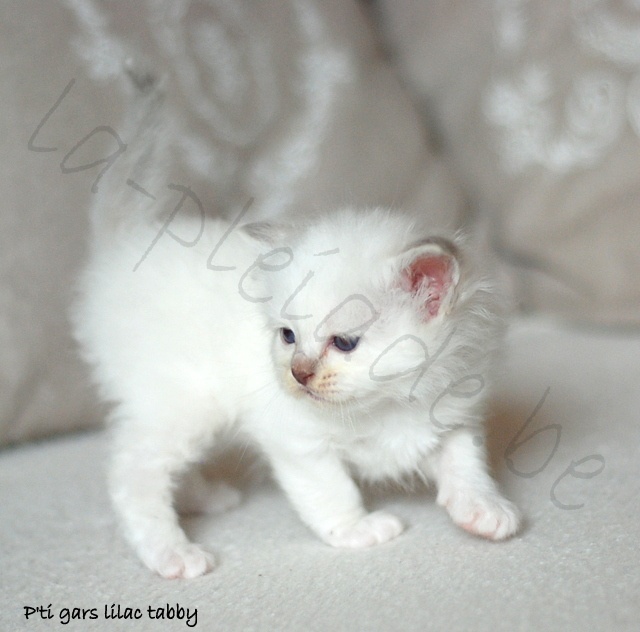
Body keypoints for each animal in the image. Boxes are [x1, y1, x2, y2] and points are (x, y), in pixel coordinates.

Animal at [74, 195, 520, 576]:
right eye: (288, 336)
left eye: (344, 343)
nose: (298, 373)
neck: (385, 403)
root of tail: (117, 252)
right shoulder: (298, 443)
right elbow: (332, 491)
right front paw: (358, 530)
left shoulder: (449, 418)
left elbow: (466, 465)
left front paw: (484, 511)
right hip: (183, 405)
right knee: (134, 473)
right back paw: (174, 554)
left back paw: (207, 500)